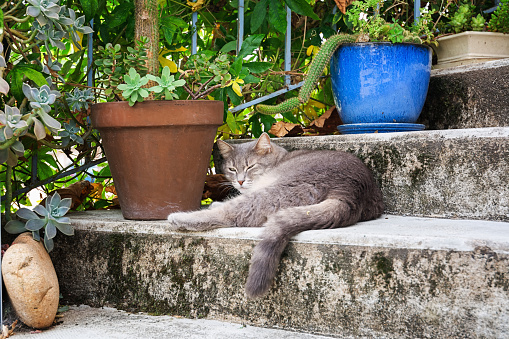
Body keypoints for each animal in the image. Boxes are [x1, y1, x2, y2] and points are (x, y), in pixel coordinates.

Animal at [167, 131, 380, 298]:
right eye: (232, 169)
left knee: (232, 214)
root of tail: (351, 192)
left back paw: (181, 218)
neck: (279, 158)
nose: (240, 181)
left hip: (277, 190)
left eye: (250, 166)